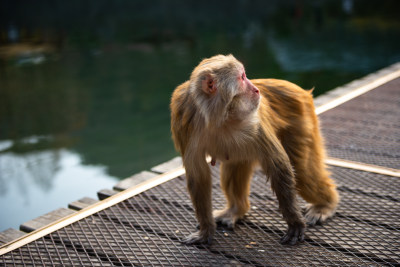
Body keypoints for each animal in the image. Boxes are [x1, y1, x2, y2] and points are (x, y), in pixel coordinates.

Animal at [169, 54, 338, 247]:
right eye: (242, 77)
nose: (256, 90)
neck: (218, 115)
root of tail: (296, 88)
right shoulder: (183, 119)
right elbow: (198, 176)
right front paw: (206, 230)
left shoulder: (253, 120)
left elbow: (278, 165)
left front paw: (294, 222)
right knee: (235, 163)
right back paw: (236, 209)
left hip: (303, 120)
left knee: (302, 171)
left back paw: (326, 204)